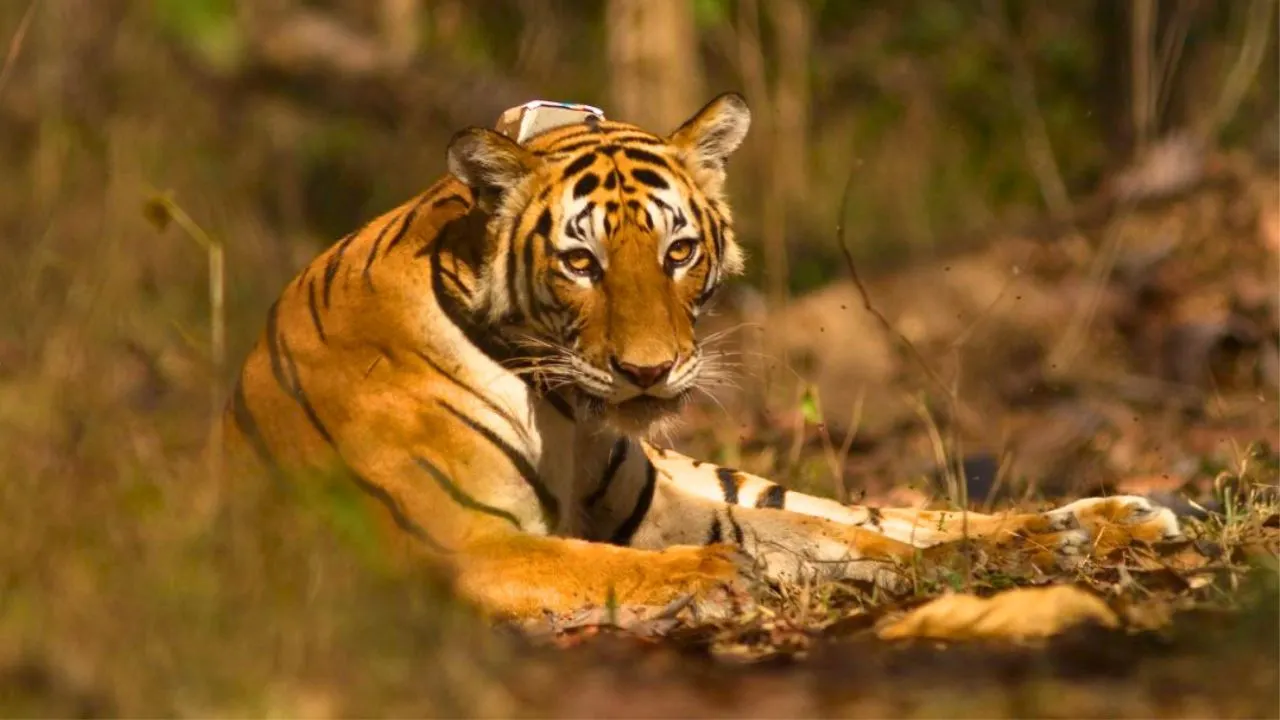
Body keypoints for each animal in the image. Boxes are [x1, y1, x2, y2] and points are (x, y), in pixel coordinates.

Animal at [223, 93, 1184, 620]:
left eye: (678, 251)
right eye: (581, 263)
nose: (648, 372)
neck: (559, 410)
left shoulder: (645, 506)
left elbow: (833, 537)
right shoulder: (459, 545)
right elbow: (597, 564)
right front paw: (721, 573)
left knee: (882, 512)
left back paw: (1109, 521)